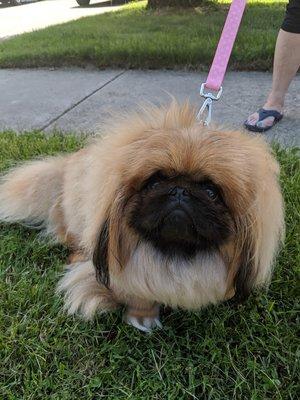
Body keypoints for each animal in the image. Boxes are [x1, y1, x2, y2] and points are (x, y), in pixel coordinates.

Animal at [0, 102, 284, 332]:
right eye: (155, 182)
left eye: (211, 192)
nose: (180, 191)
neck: (173, 254)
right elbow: (134, 293)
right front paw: (142, 317)